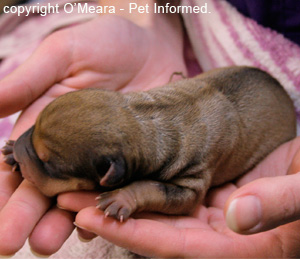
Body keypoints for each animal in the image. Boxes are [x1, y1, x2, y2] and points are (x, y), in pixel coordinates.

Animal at [1, 65, 298, 221]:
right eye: (34, 126)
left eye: (48, 163)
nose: (21, 152)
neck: (143, 118)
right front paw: (12, 148)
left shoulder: (191, 184)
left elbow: (154, 189)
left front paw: (120, 198)